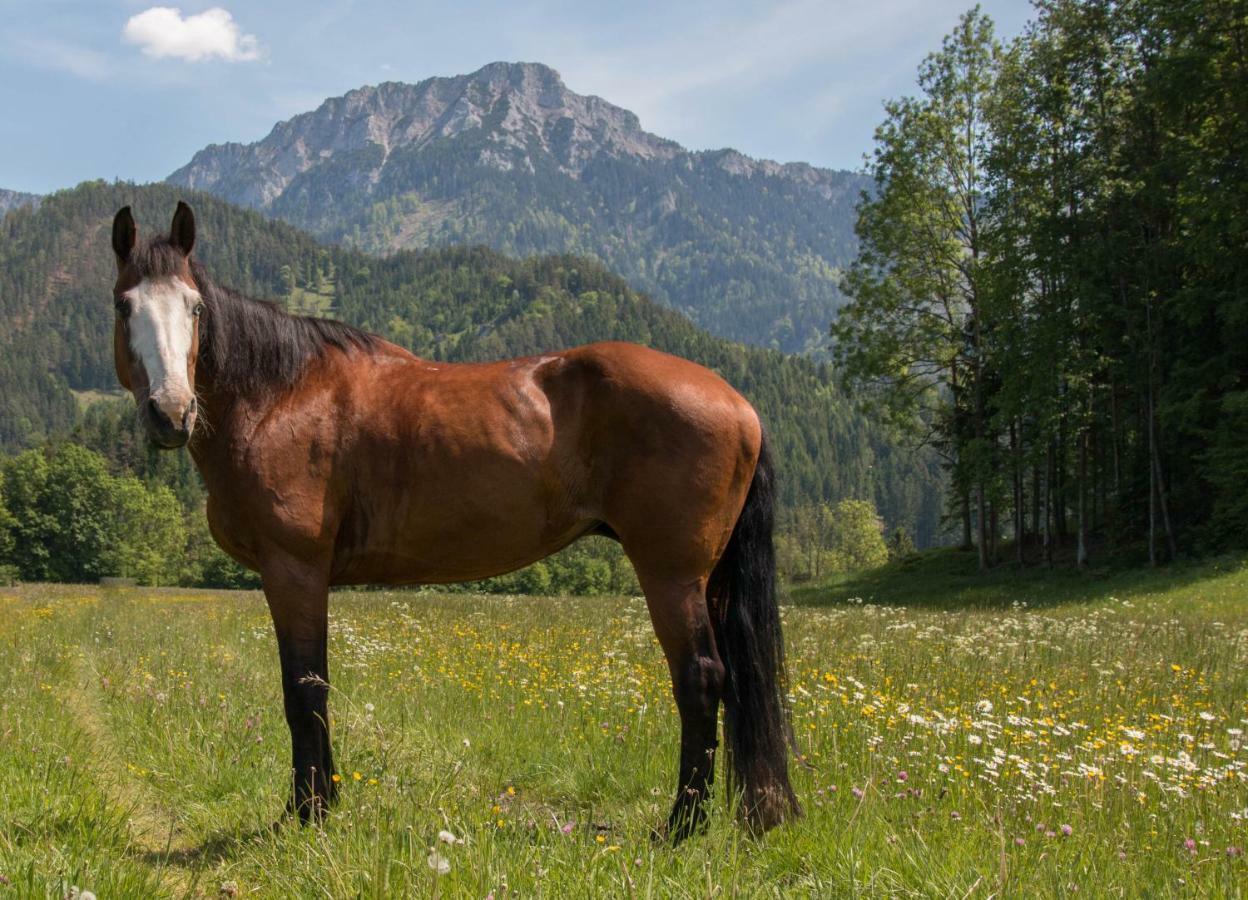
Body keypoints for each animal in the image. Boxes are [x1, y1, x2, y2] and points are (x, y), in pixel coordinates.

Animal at [109, 203, 798, 843]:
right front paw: (324, 802)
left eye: (196, 309)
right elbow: (317, 684)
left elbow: (303, 690)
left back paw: (681, 826)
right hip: (705, 579)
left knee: (701, 679)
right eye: (124, 306)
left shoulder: (293, 571)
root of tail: (738, 401)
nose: (171, 412)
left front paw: (304, 815)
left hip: (672, 574)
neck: (282, 395)